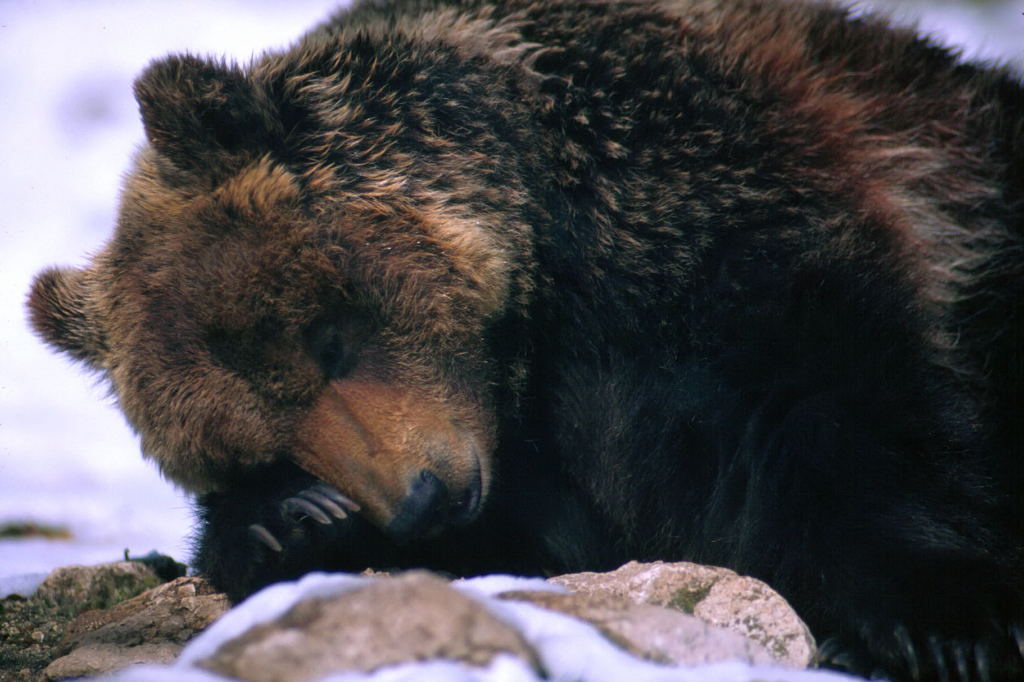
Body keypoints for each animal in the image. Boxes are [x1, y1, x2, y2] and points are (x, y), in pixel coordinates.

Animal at [25, 0, 1024, 675]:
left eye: (325, 337)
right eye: (257, 444)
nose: (422, 497)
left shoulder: (698, 216)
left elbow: (831, 403)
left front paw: (945, 620)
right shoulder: (527, 469)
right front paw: (289, 523)